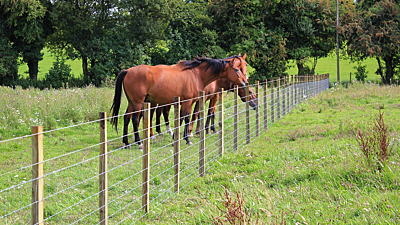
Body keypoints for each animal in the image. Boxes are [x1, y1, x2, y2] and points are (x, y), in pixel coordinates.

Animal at [111, 55, 248, 149]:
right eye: (237, 69)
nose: (244, 82)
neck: (196, 74)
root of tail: (128, 71)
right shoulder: (187, 102)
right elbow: (182, 119)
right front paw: (178, 138)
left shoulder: (189, 103)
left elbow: (186, 119)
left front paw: (186, 139)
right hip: (138, 102)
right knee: (134, 119)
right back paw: (139, 143)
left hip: (131, 102)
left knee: (126, 118)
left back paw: (127, 142)